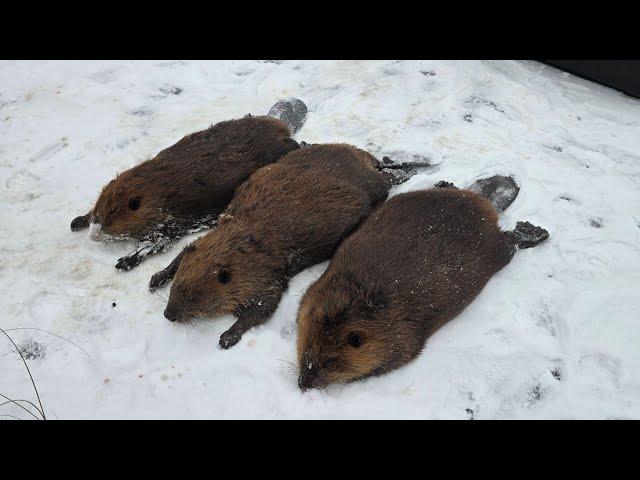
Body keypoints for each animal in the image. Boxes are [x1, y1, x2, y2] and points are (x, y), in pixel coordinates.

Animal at [71, 98, 306, 270]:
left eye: (111, 219)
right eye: (101, 212)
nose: (93, 235)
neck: (154, 190)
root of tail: (280, 125)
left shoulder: (170, 219)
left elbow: (157, 243)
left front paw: (125, 261)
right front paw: (78, 221)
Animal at [149, 142, 402, 348]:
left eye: (194, 297)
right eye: (177, 288)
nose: (168, 314)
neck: (240, 240)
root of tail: (367, 158)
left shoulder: (266, 272)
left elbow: (265, 305)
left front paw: (227, 336)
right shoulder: (208, 240)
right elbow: (182, 253)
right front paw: (156, 279)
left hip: (374, 187)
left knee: (384, 180)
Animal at [296, 185, 552, 390]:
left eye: (330, 362)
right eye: (308, 347)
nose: (303, 384)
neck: (361, 297)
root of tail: (485, 206)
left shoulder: (401, 335)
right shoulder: (316, 289)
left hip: (493, 250)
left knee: (508, 245)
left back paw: (531, 233)